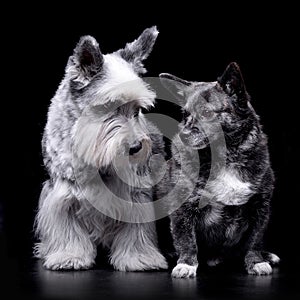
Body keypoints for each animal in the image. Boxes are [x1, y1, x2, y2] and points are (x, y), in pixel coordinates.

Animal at [34, 27, 169, 272]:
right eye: (108, 107)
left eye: (137, 110)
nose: (135, 147)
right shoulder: (62, 195)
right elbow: (67, 229)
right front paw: (70, 256)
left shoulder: (136, 194)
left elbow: (136, 230)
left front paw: (139, 258)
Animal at [159, 62, 278, 278]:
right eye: (185, 115)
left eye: (207, 114)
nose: (183, 135)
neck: (225, 157)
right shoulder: (183, 208)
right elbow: (186, 239)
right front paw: (186, 264)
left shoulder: (260, 207)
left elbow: (254, 240)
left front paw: (256, 261)